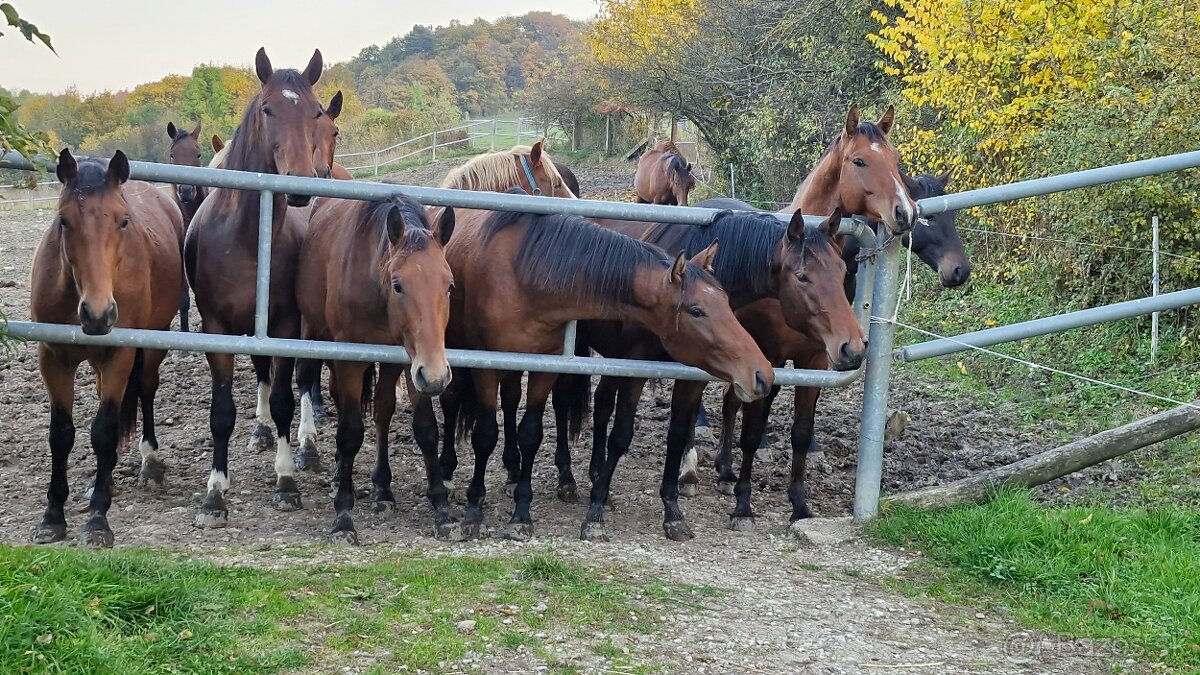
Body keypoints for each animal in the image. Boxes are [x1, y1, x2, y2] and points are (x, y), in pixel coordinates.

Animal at [28, 148, 184, 547]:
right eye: (63, 221)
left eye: (123, 221)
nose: (97, 314)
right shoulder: (52, 358)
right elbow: (61, 434)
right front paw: (52, 516)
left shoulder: (119, 357)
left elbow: (103, 432)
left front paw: (98, 521)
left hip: (152, 344)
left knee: (145, 390)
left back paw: (149, 464)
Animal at [188, 47, 338, 528]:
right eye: (269, 109)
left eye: (315, 112)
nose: (301, 184)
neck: (246, 239)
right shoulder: (216, 327)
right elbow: (223, 412)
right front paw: (215, 494)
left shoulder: (288, 324)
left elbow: (286, 399)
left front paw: (286, 480)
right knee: (262, 375)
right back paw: (261, 432)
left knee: (305, 380)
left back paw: (307, 446)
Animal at [295, 193, 453, 540]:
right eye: (398, 285)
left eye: (449, 285)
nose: (437, 375)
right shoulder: (350, 359)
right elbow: (350, 431)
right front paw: (343, 513)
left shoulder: (411, 360)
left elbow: (424, 428)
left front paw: (441, 506)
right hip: (315, 332)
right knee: (321, 388)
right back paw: (333, 470)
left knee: (380, 408)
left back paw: (381, 487)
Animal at [441, 200, 768, 540]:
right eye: (696, 311)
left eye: (728, 302)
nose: (761, 373)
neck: (525, 275)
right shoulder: (486, 368)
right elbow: (484, 435)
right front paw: (473, 512)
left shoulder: (546, 365)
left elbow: (531, 434)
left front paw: (521, 514)